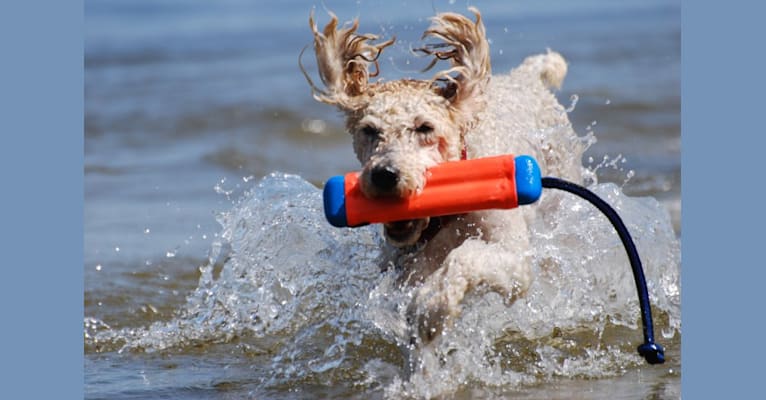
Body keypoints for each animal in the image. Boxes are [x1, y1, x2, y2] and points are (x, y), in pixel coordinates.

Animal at [304, 7, 584, 344]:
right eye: (369, 130)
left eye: (425, 127)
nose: (385, 175)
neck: (446, 216)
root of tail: (526, 78)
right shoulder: (403, 265)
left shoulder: (514, 259)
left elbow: (466, 258)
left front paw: (432, 305)